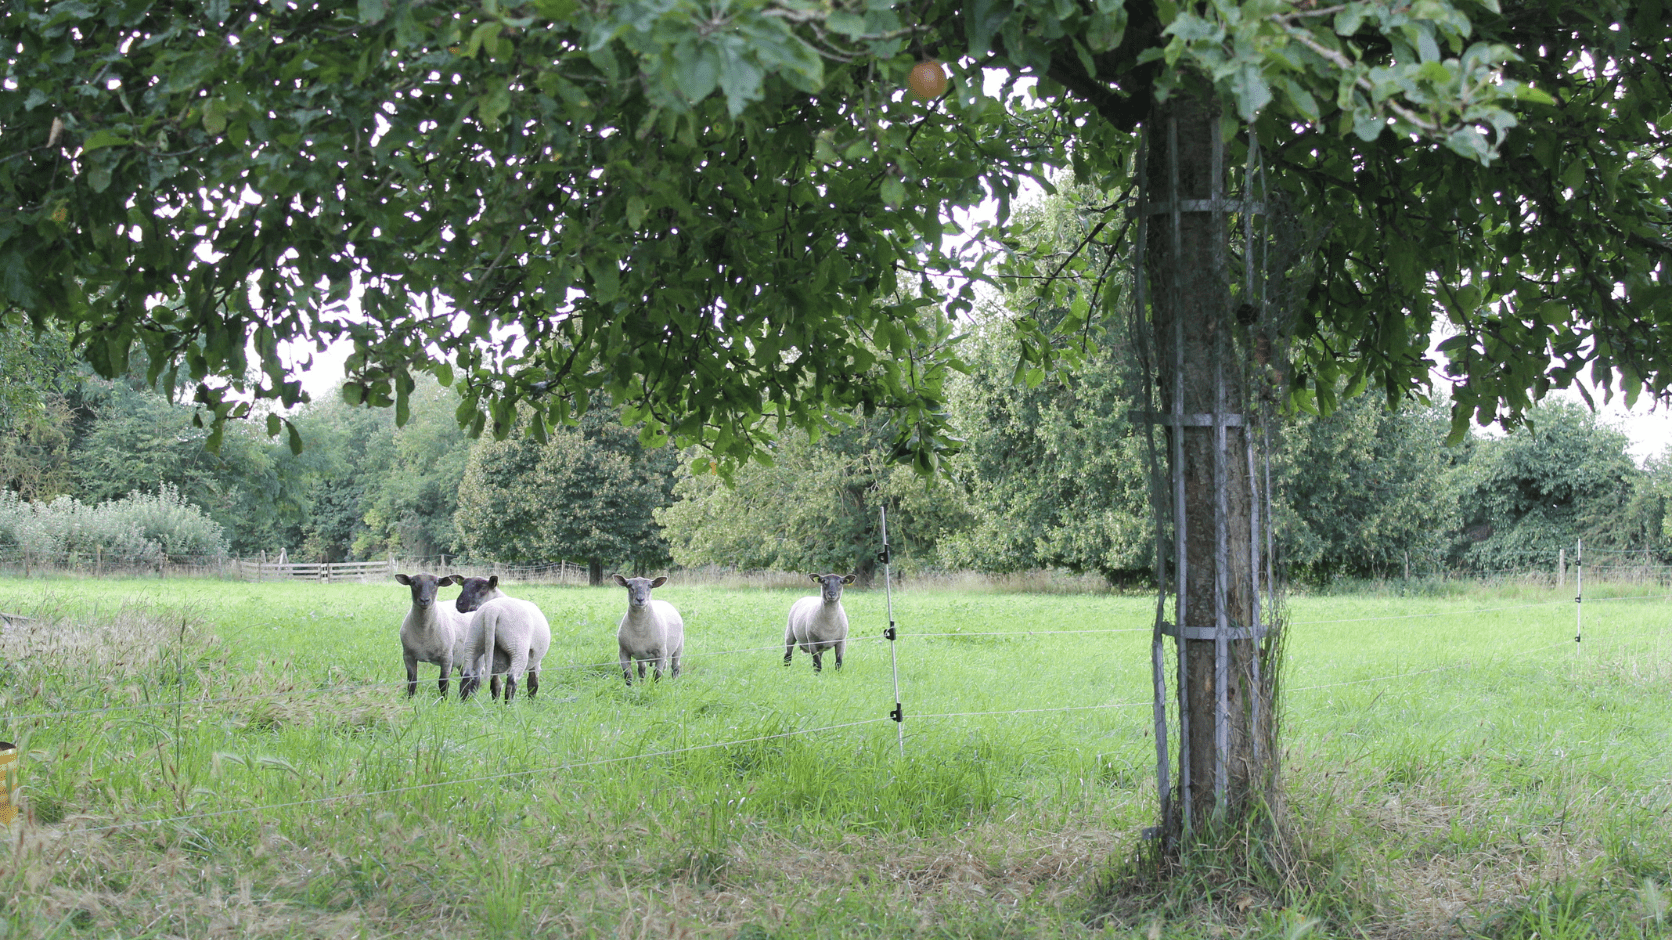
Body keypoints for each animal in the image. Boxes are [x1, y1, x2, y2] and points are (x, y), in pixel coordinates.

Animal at [454, 572, 551, 702]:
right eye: (463, 586)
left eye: (483, 588)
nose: (460, 604)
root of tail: (492, 610)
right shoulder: (536, 659)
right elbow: (533, 683)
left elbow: (496, 684)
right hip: (517, 649)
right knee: (511, 682)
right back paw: (508, 706)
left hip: (472, 643)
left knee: (466, 678)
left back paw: (463, 703)